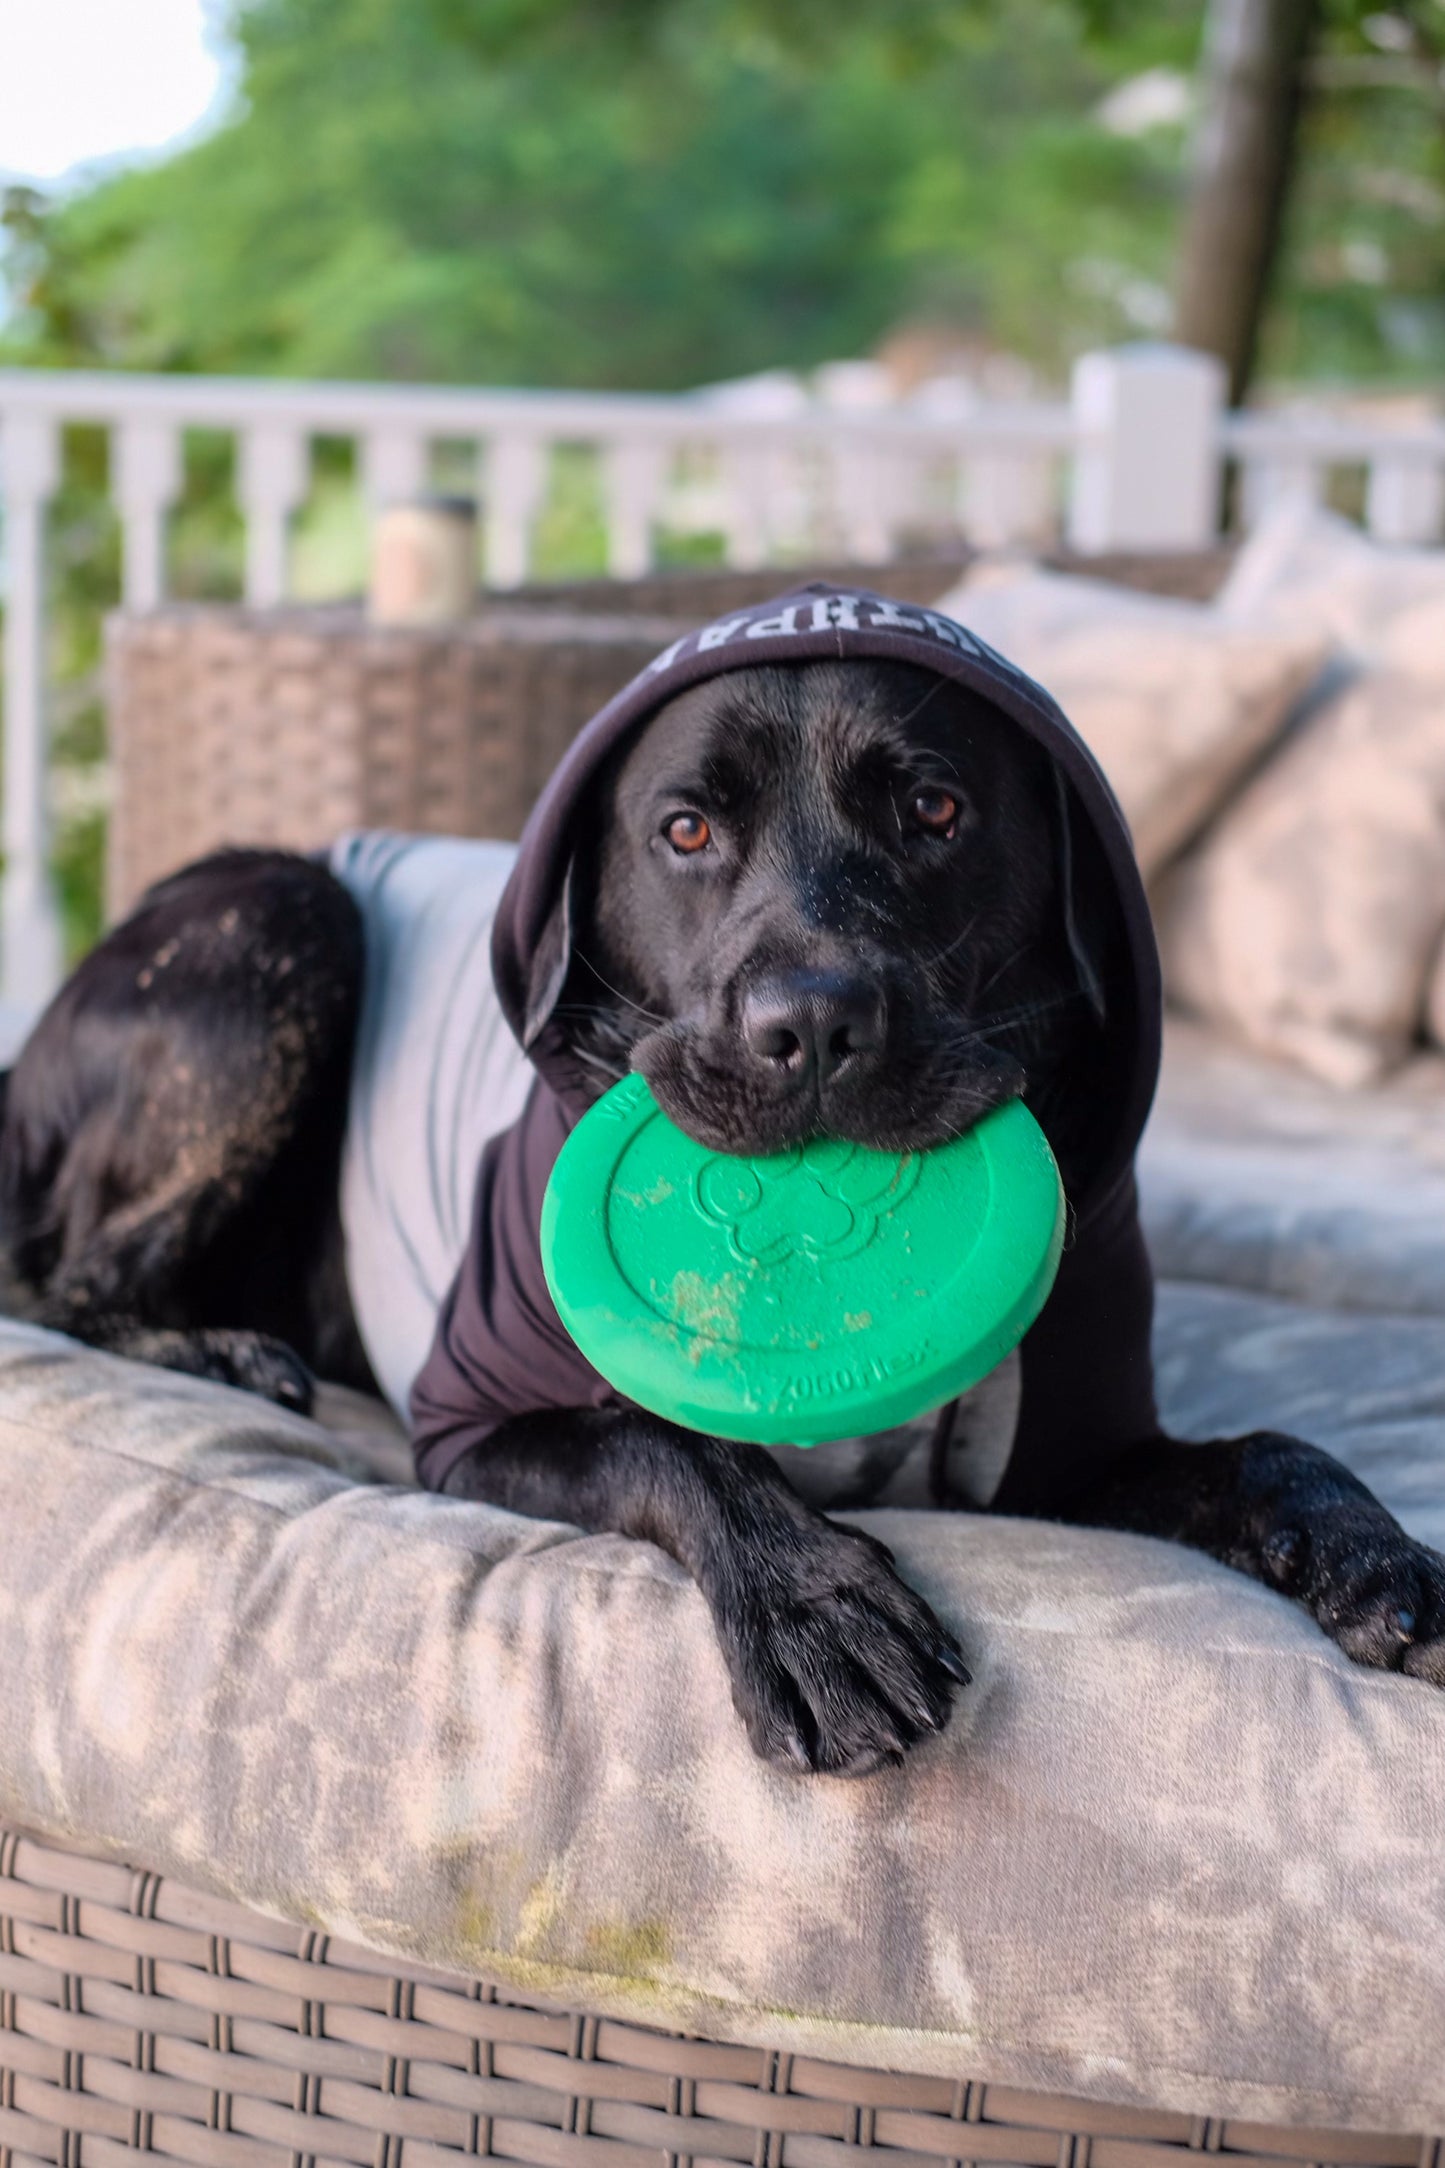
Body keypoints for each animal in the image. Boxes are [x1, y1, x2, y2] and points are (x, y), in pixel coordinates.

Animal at [2, 633, 1445, 1769]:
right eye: (685, 831)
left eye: (934, 809)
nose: (808, 1026)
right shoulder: (471, 1422)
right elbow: (677, 1444)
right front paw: (812, 1612)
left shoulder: (1071, 1460)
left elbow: (1269, 1450)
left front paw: (1382, 1563)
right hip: (285, 908)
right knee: (63, 1276)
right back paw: (212, 1349)